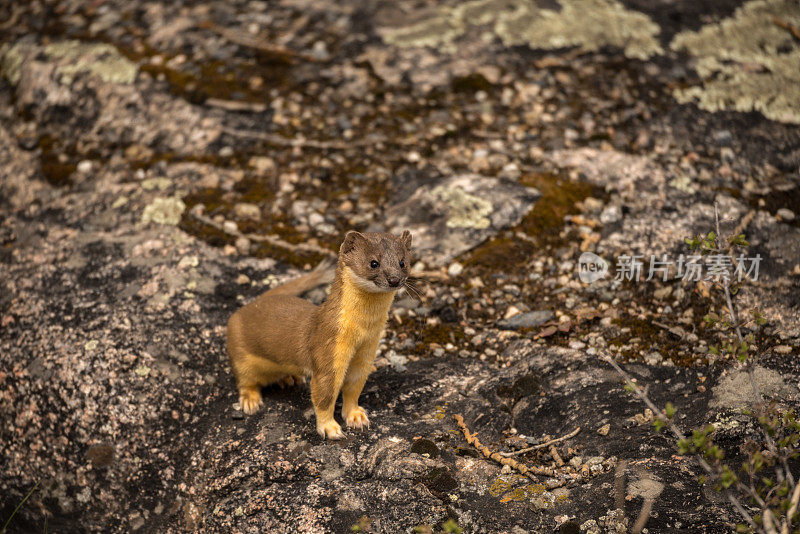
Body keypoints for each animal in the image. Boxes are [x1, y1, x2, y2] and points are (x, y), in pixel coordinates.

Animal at [227, 232, 410, 442]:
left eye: (403, 262)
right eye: (373, 263)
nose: (394, 279)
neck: (361, 334)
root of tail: (252, 304)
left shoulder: (367, 352)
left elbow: (354, 387)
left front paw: (356, 416)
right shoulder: (329, 349)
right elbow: (324, 394)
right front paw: (330, 428)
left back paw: (289, 378)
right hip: (240, 349)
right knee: (245, 378)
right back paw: (250, 400)